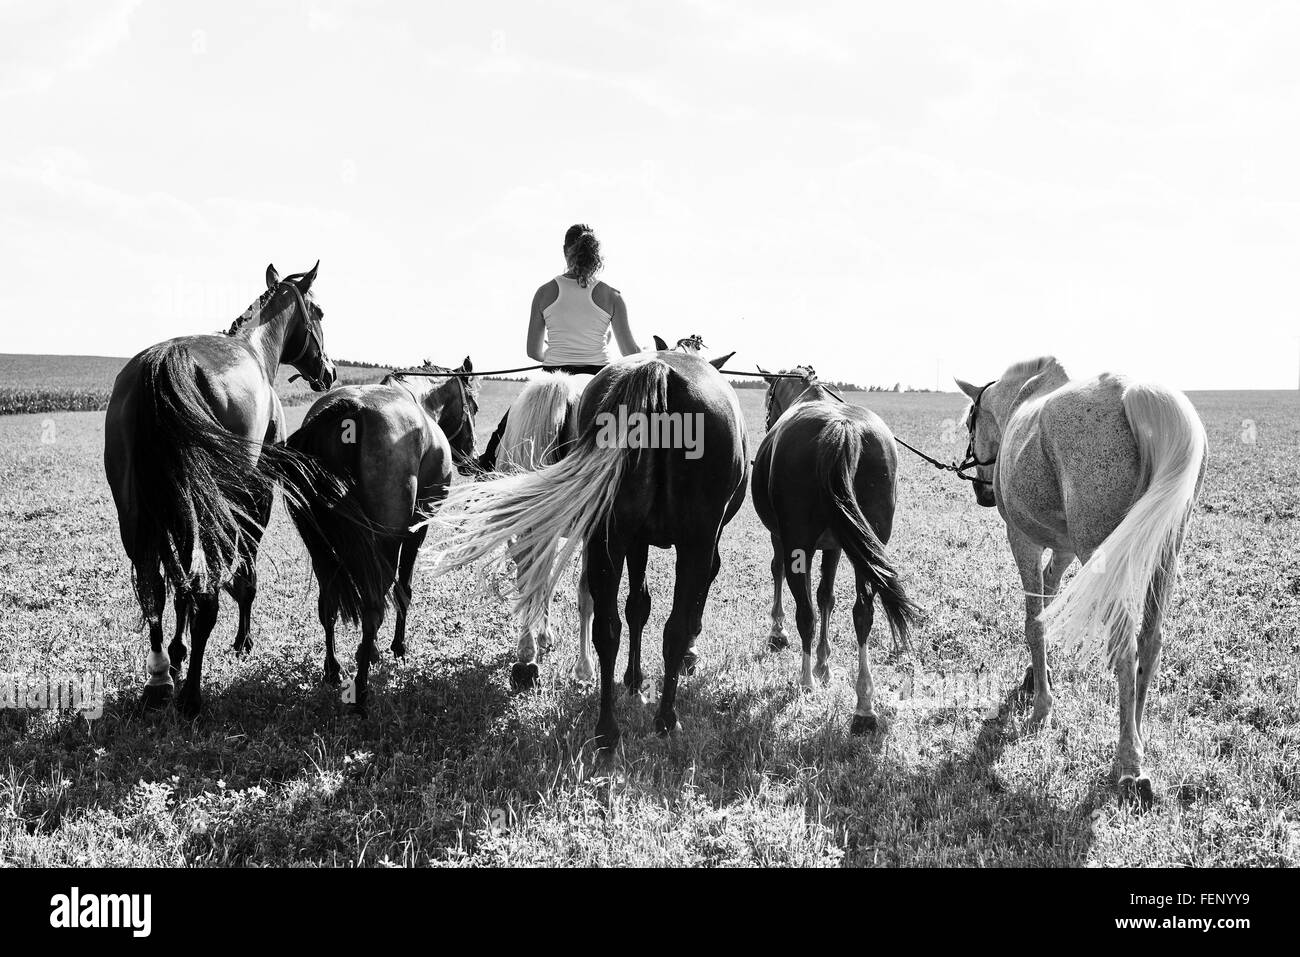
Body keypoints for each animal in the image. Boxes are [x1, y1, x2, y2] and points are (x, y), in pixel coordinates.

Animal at [104, 261, 338, 717]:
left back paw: (160, 679)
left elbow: (178, 586)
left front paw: (176, 652)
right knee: (206, 593)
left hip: (140, 514)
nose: (330, 372)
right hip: (211, 508)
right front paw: (242, 641)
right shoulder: (257, 492)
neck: (256, 350)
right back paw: (191, 696)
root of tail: (162, 363)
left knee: (156, 590)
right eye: (319, 313)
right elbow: (244, 575)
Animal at [287, 358, 480, 712]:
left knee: (328, 603)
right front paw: (396, 647)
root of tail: (351, 411)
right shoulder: (417, 527)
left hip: (322, 547)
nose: (473, 458)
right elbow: (404, 589)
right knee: (374, 607)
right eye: (471, 404)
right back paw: (361, 693)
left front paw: (372, 650)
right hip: (387, 541)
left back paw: (333, 669)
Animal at [431, 348, 748, 748]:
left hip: (595, 532)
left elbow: (633, 605)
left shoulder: (628, 539)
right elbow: (654, 606)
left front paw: (626, 677)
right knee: (666, 626)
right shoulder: (690, 543)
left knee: (581, 609)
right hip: (686, 541)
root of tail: (657, 369)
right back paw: (662, 718)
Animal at [748, 364, 920, 733]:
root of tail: (842, 430)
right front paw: (824, 664)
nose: (767, 420)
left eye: (769, 399)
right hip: (869, 549)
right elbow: (827, 596)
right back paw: (864, 705)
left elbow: (780, 573)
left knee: (806, 612)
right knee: (862, 612)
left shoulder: (782, 538)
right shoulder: (837, 547)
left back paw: (805, 681)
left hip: (799, 544)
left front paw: (778, 633)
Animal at [956, 356, 1206, 806]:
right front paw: (1036, 676)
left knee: (1125, 645)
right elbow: (1049, 598)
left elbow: (1035, 620)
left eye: (970, 421)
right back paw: (1135, 737)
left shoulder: (1023, 540)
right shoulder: (1065, 549)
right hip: (1163, 552)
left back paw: (1129, 765)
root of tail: (1134, 392)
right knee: (1151, 640)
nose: (983, 493)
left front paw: (1041, 706)